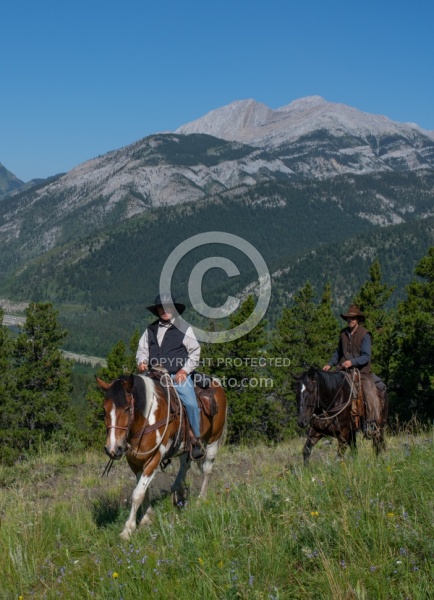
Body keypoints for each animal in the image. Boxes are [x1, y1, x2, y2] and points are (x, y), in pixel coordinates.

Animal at [96, 370, 227, 540]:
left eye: (126, 409)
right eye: (104, 410)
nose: (113, 448)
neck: (147, 419)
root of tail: (216, 382)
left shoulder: (154, 458)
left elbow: (137, 493)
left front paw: (128, 529)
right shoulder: (135, 461)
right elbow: (143, 490)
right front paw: (146, 517)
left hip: (213, 439)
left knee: (207, 469)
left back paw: (200, 499)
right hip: (186, 444)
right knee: (185, 463)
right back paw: (178, 492)